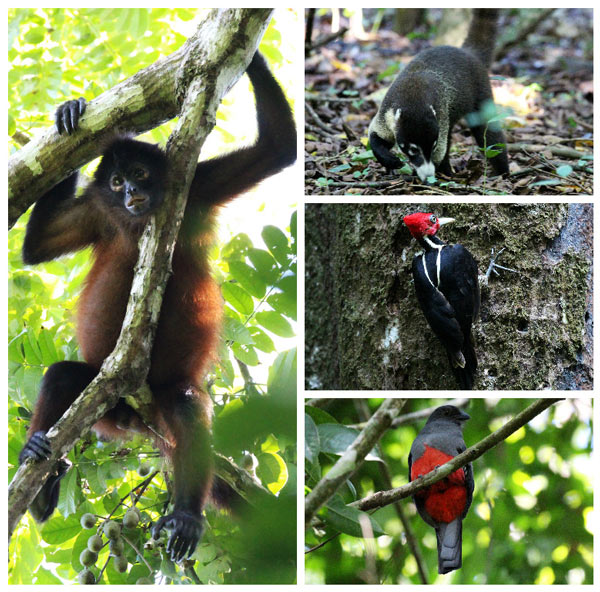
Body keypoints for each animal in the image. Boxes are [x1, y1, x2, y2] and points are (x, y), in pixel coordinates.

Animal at [15, 52, 292, 564]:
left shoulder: (198, 185)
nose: (129, 192)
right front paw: (68, 112)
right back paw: (41, 471)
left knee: (184, 404)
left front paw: (249, 55)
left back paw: (186, 515)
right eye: (116, 180)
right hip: (106, 400)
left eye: (140, 174)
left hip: (162, 395)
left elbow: (278, 149)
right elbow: (37, 245)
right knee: (62, 376)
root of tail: (135, 417)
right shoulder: (98, 212)